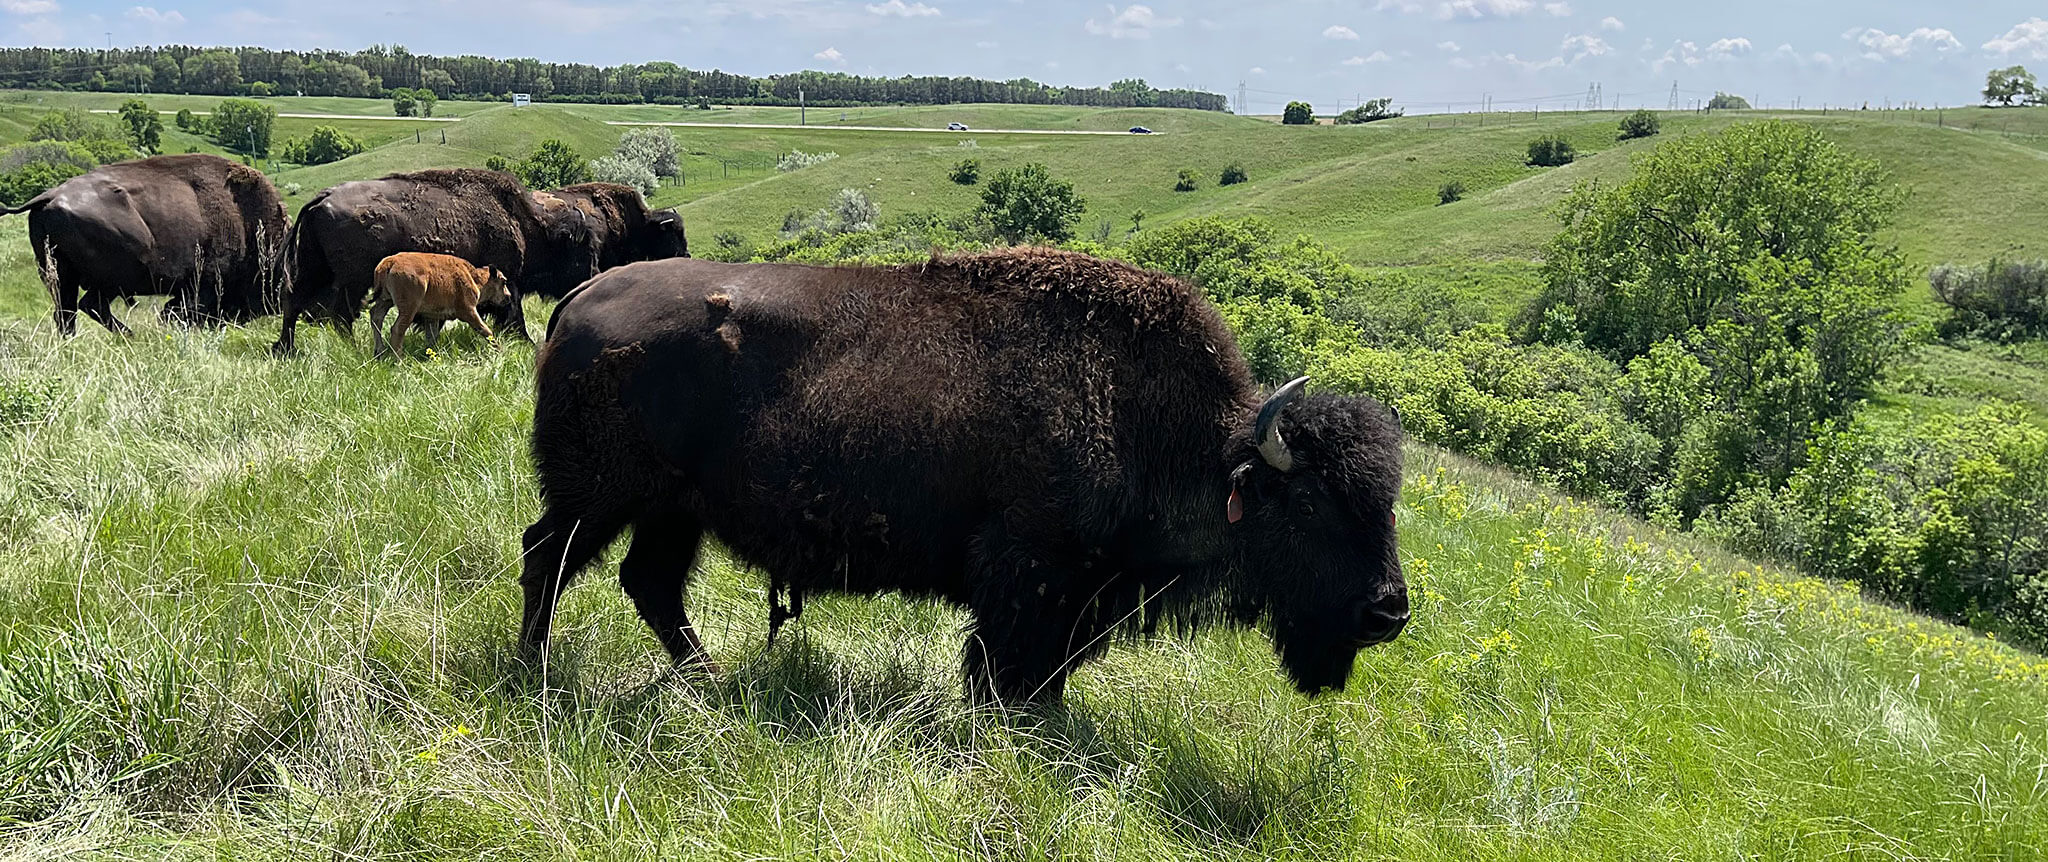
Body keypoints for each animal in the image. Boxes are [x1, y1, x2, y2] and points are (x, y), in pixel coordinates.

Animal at [3, 153, 287, 336]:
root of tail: (48, 196)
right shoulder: (203, 283)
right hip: (112, 278)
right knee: (90, 306)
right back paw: (131, 336)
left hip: (64, 278)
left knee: (69, 314)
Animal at [271, 169, 597, 354]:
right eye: (583, 250)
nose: (593, 275)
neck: (527, 224)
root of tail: (322, 198)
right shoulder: (508, 280)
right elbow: (513, 312)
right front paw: (525, 342)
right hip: (352, 280)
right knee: (340, 314)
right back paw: (351, 347)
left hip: (315, 268)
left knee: (293, 302)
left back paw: (285, 349)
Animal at [520, 249, 1408, 703]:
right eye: (1309, 504)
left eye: (1386, 504)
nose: (1389, 612)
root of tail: (582, 295)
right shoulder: (1028, 575)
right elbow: (1004, 665)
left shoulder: (1075, 597)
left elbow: (1045, 675)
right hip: (597, 497)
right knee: (548, 558)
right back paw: (535, 673)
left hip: (671, 509)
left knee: (648, 582)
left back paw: (709, 680)